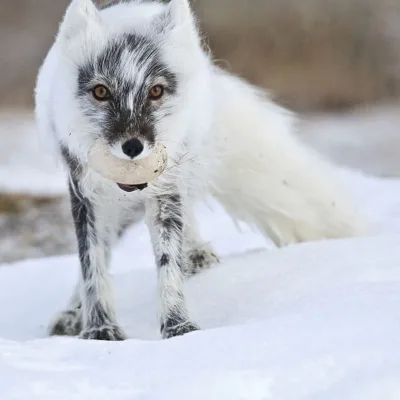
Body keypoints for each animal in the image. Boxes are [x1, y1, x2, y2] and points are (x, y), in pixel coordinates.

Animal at [34, 0, 366, 340]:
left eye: (156, 91)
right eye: (100, 92)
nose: (133, 146)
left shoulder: (165, 189)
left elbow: (168, 260)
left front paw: (178, 325)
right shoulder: (86, 194)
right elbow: (92, 265)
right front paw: (99, 329)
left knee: (186, 215)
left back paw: (194, 255)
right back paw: (73, 313)